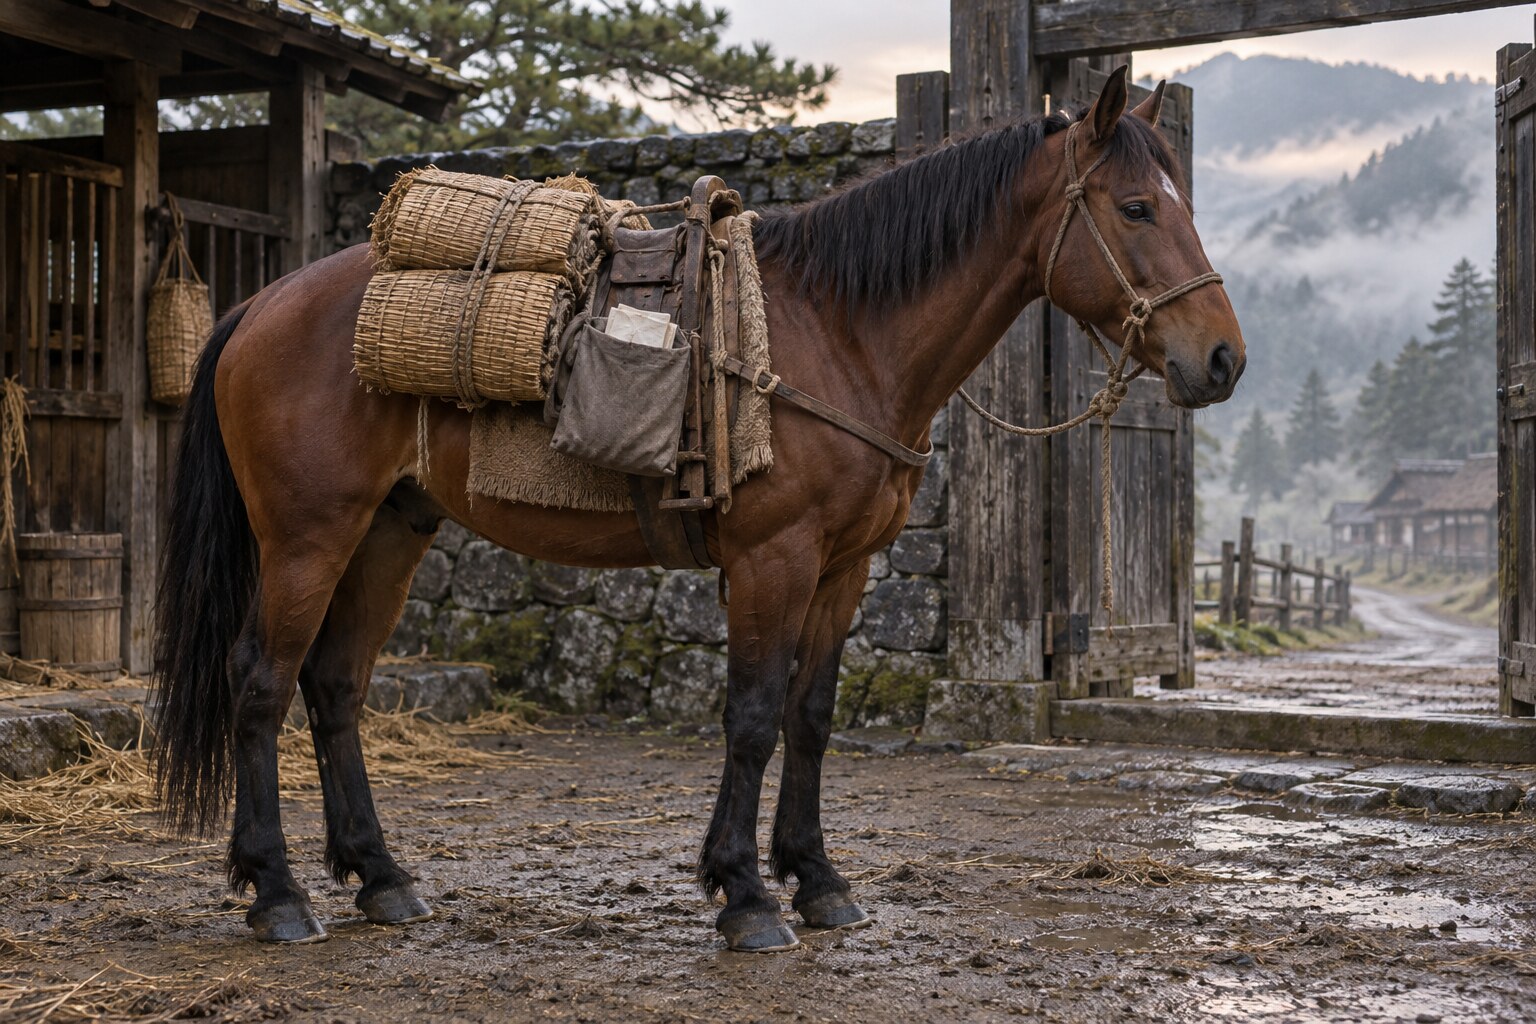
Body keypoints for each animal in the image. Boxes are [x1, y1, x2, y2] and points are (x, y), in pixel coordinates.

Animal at [150, 66, 1244, 953]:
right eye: (1137, 208)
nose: (1223, 358)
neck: (839, 332)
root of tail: (261, 306)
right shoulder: (772, 559)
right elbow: (753, 716)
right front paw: (746, 895)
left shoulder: (844, 568)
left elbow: (810, 715)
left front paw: (818, 879)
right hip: (306, 537)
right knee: (260, 683)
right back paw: (277, 893)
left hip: (389, 529)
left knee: (333, 686)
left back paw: (381, 877)